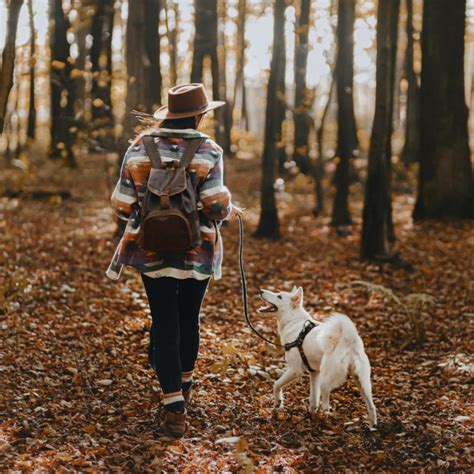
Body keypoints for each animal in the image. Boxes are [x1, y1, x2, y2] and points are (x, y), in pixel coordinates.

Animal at [258, 286, 376, 428]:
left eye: (279, 296)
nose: (260, 291)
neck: (294, 321)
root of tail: (349, 340)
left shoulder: (295, 370)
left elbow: (276, 384)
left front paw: (277, 402)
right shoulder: (314, 373)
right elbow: (313, 399)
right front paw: (311, 414)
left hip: (326, 380)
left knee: (326, 406)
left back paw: (324, 420)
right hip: (362, 381)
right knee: (372, 406)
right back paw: (372, 427)